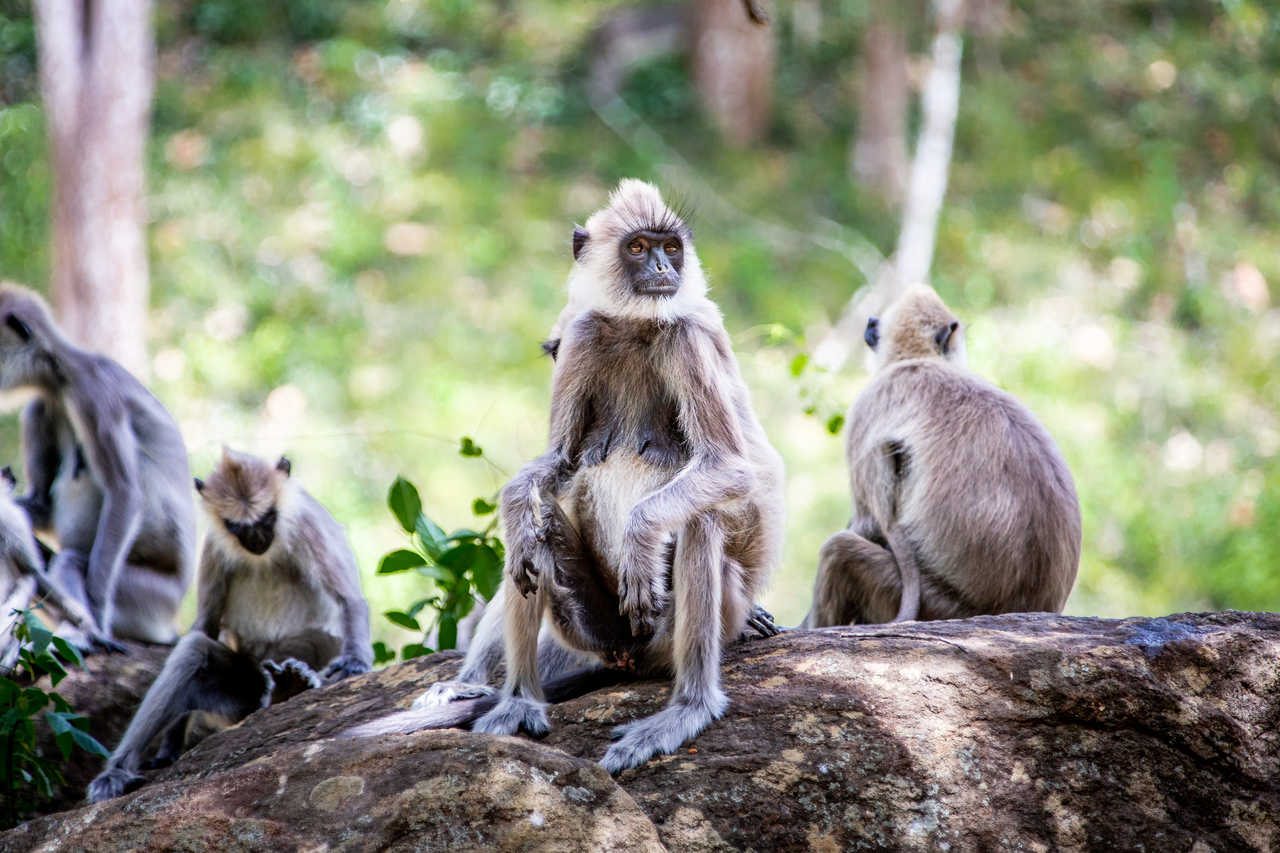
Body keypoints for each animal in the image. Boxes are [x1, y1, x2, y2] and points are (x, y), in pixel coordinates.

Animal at [0, 284, 196, 645]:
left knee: (73, 562)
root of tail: (168, 622)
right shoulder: (41, 405)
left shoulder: (94, 392)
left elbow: (124, 491)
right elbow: (42, 509)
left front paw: (98, 613)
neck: (60, 377)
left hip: (148, 597)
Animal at [87, 448, 373, 802]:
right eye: (237, 527)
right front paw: (169, 748)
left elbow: (349, 600)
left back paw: (291, 687)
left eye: (267, 519)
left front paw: (355, 662)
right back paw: (117, 772)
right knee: (194, 651)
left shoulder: (308, 525)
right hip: (240, 696)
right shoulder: (214, 541)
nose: (257, 540)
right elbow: (204, 626)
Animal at [347, 181, 786, 774]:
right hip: (596, 629)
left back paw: (688, 708)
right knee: (532, 535)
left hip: (686, 626)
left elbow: (726, 467)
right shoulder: (584, 336)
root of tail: (629, 656)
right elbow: (552, 466)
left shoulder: (688, 335)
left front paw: (640, 541)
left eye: (669, 249)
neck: (635, 327)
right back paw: (515, 700)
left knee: (701, 520)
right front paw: (521, 506)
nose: (662, 270)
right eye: (637, 248)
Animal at [803, 285, 1081, 628]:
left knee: (840, 551)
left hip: (931, 605)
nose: (871, 323)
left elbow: (867, 523)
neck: (920, 359)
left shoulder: (871, 401)